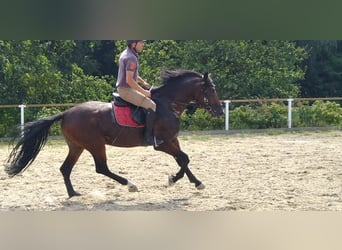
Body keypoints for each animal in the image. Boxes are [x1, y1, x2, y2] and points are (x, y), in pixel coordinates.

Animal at [5, 69, 226, 198]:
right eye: (211, 90)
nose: (220, 112)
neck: (168, 104)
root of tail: (67, 112)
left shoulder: (172, 139)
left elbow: (183, 159)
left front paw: (193, 182)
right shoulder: (162, 143)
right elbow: (184, 158)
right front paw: (175, 180)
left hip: (77, 146)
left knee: (65, 168)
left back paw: (73, 193)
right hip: (95, 144)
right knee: (101, 168)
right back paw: (130, 185)